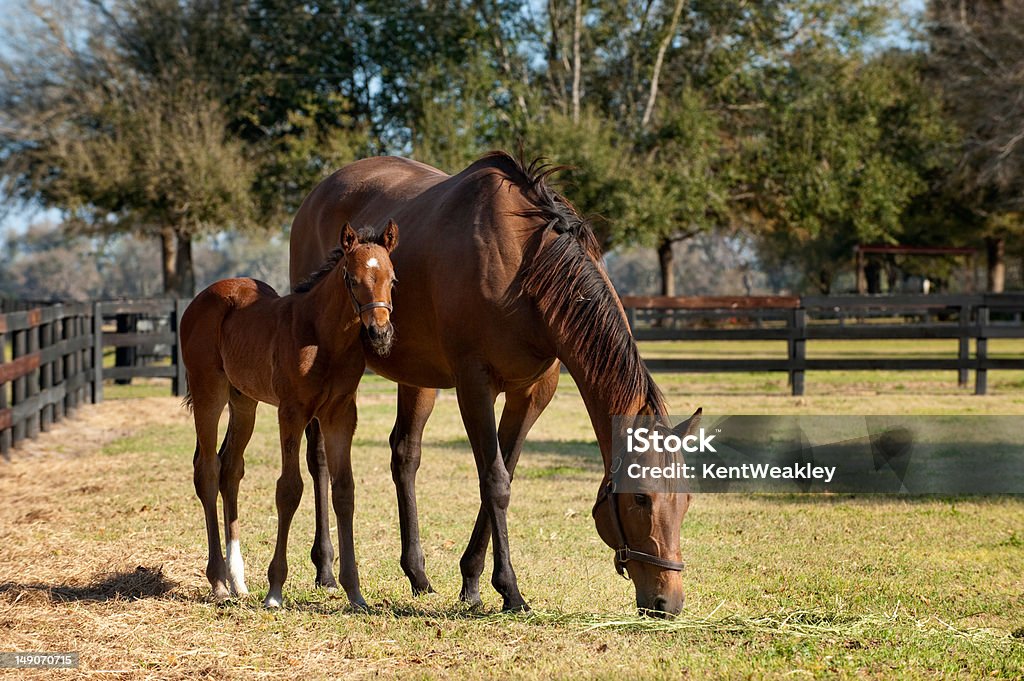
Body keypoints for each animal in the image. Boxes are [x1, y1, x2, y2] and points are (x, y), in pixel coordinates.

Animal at [180, 220, 395, 606]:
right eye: (352, 278)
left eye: (392, 278)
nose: (379, 333)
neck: (323, 337)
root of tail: (198, 301)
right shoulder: (292, 412)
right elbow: (289, 489)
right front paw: (275, 590)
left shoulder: (341, 415)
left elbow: (344, 491)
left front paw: (354, 592)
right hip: (208, 394)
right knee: (207, 470)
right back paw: (219, 582)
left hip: (243, 401)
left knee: (230, 469)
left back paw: (238, 581)